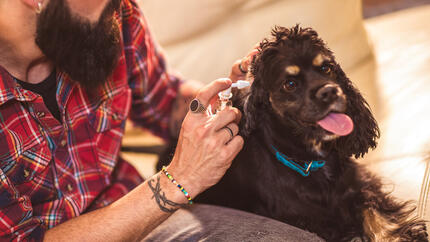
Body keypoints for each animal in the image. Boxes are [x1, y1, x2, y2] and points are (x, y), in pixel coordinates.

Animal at [160, 25, 428, 241]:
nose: (330, 92)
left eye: (327, 68)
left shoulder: (358, 186)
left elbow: (375, 214)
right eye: (290, 84)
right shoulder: (311, 219)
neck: (311, 161)